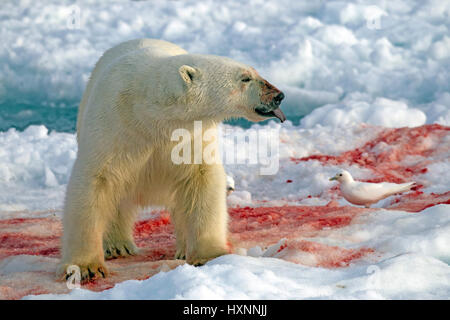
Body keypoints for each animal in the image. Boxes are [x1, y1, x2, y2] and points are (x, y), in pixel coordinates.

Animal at [59, 38, 284, 282]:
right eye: (245, 78)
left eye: (254, 72)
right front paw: (86, 267)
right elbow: (95, 183)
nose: (278, 95)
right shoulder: (113, 128)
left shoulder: (192, 136)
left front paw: (210, 255)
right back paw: (118, 246)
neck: (150, 113)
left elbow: (202, 183)